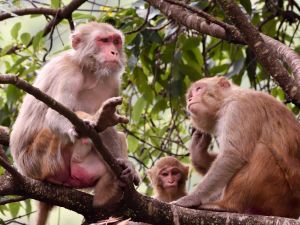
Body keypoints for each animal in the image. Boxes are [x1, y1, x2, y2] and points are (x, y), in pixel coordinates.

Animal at [9, 21, 139, 225]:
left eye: (116, 41)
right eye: (104, 40)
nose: (114, 52)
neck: (88, 70)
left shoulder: (111, 83)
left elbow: (109, 130)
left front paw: (125, 164)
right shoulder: (68, 74)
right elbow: (54, 116)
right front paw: (98, 119)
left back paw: (108, 192)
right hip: (40, 160)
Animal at [173, 75, 300, 218]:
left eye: (199, 89)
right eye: (190, 95)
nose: (190, 99)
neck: (226, 100)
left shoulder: (238, 108)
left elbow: (232, 155)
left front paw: (191, 198)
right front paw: (198, 152)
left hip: (281, 198)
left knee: (261, 152)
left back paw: (227, 206)